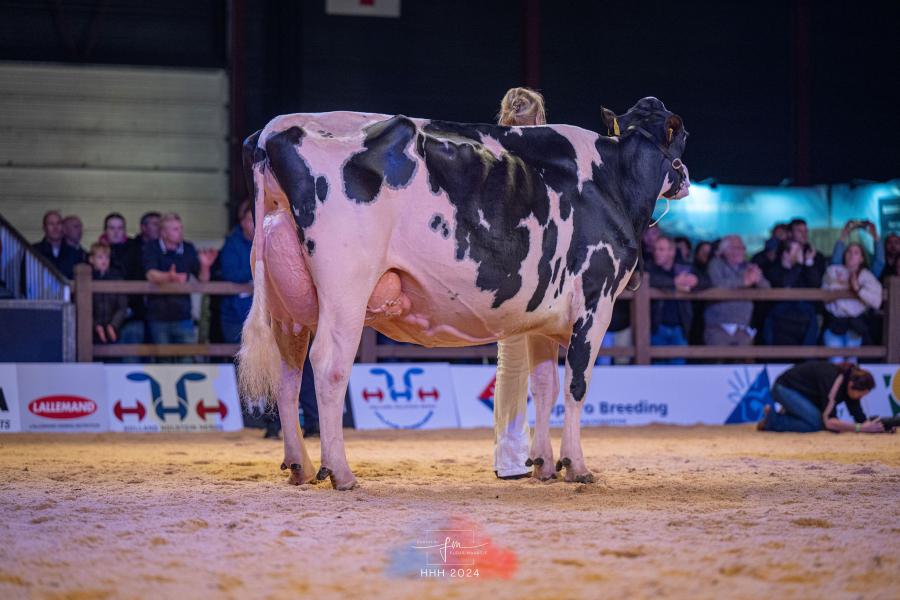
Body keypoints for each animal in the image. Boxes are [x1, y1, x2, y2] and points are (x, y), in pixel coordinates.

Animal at [237, 97, 688, 488]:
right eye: (681, 133)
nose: (684, 178)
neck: (613, 178)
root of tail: (273, 129)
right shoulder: (596, 301)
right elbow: (576, 387)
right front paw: (575, 465)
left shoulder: (544, 315)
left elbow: (544, 388)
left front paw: (543, 464)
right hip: (345, 287)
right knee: (329, 365)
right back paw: (341, 472)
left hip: (288, 301)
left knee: (288, 373)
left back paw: (300, 465)